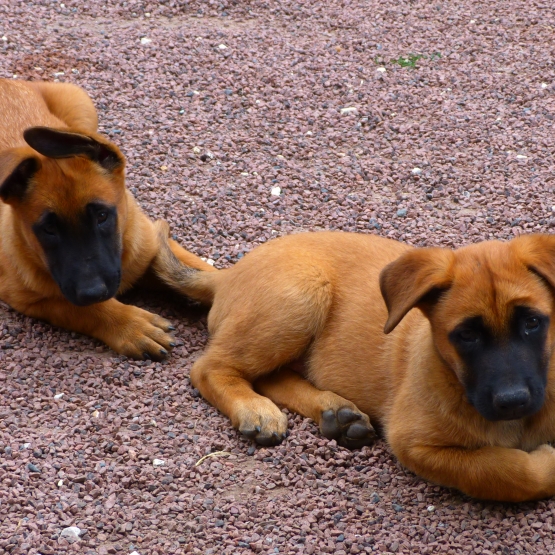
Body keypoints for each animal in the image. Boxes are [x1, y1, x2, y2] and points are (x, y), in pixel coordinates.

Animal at [0, 80, 215, 360]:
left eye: (102, 216)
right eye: (48, 229)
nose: (93, 291)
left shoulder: (151, 245)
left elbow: (200, 272)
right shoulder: (29, 296)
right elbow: (83, 308)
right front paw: (131, 325)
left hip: (80, 104)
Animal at [153, 228, 555, 506]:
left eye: (533, 323)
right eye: (466, 335)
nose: (512, 401)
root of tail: (228, 273)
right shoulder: (415, 443)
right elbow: (501, 471)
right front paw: (544, 464)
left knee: (270, 375)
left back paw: (335, 412)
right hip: (300, 293)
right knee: (210, 368)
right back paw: (254, 408)